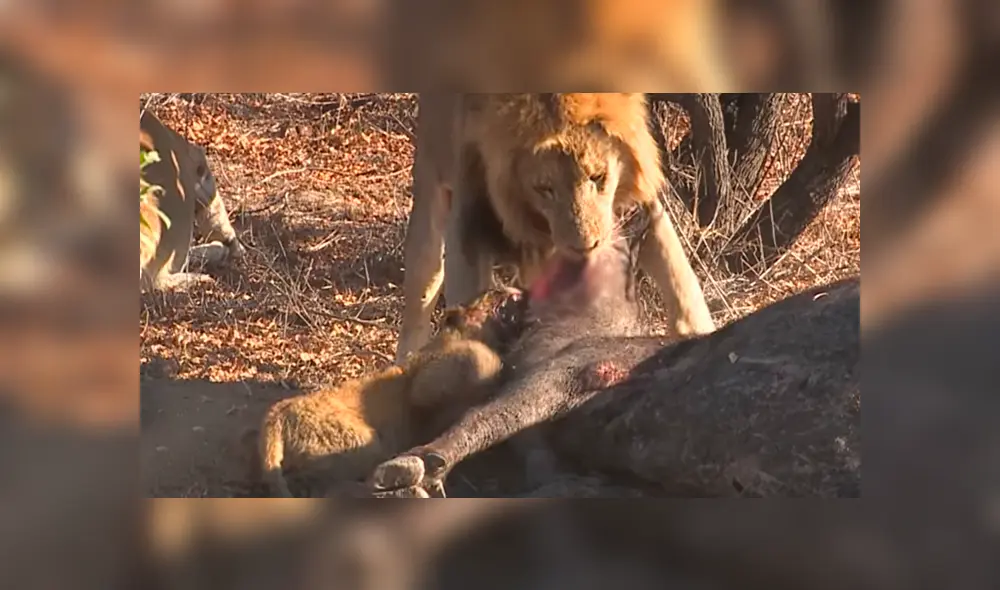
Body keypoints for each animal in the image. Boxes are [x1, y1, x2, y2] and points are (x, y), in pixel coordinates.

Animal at [245, 286, 525, 498]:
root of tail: (274, 417)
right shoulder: (427, 380)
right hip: (362, 443)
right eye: (491, 292)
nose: (515, 288)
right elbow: (479, 357)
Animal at [396, 93, 715, 363]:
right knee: (421, 291)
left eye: (597, 176)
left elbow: (680, 276)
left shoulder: (639, 205)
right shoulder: (469, 208)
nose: (586, 246)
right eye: (544, 189)